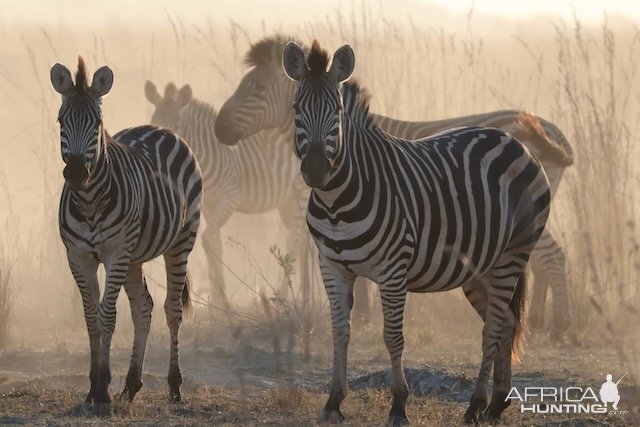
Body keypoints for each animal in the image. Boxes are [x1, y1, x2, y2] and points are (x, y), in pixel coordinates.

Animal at [50, 57, 202, 412]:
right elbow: (91, 317)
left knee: (172, 310)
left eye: (97, 123)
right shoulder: (79, 257)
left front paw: (103, 387)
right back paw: (131, 386)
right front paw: (93, 388)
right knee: (143, 308)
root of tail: (160, 128)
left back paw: (175, 387)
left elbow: (107, 316)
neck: (89, 201)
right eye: (61, 121)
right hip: (134, 256)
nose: (75, 173)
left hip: (181, 241)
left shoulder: (115, 254)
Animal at [144, 81, 308, 308]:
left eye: (176, 126)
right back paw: (306, 296)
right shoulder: (208, 205)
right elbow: (215, 244)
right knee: (304, 242)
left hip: (301, 190)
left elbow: (207, 239)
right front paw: (218, 301)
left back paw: (284, 298)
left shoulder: (230, 198)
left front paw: (221, 299)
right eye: (153, 122)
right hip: (287, 201)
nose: (157, 166)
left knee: (295, 240)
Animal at [212, 34, 572, 338]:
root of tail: (547, 129)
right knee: (540, 262)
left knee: (552, 257)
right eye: (296, 107)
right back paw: (538, 320)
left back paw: (559, 327)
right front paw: (362, 315)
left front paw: (361, 316)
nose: (219, 128)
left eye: (257, 87)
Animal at [282, 41, 552, 426]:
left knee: (493, 328)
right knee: (506, 323)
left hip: (512, 255)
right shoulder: (331, 267)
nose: (317, 170)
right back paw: (496, 404)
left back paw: (475, 405)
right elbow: (339, 331)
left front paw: (398, 406)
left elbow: (393, 337)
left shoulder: (393, 270)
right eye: (296, 109)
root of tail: (514, 140)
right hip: (479, 267)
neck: (336, 202)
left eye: (337, 110)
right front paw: (333, 402)